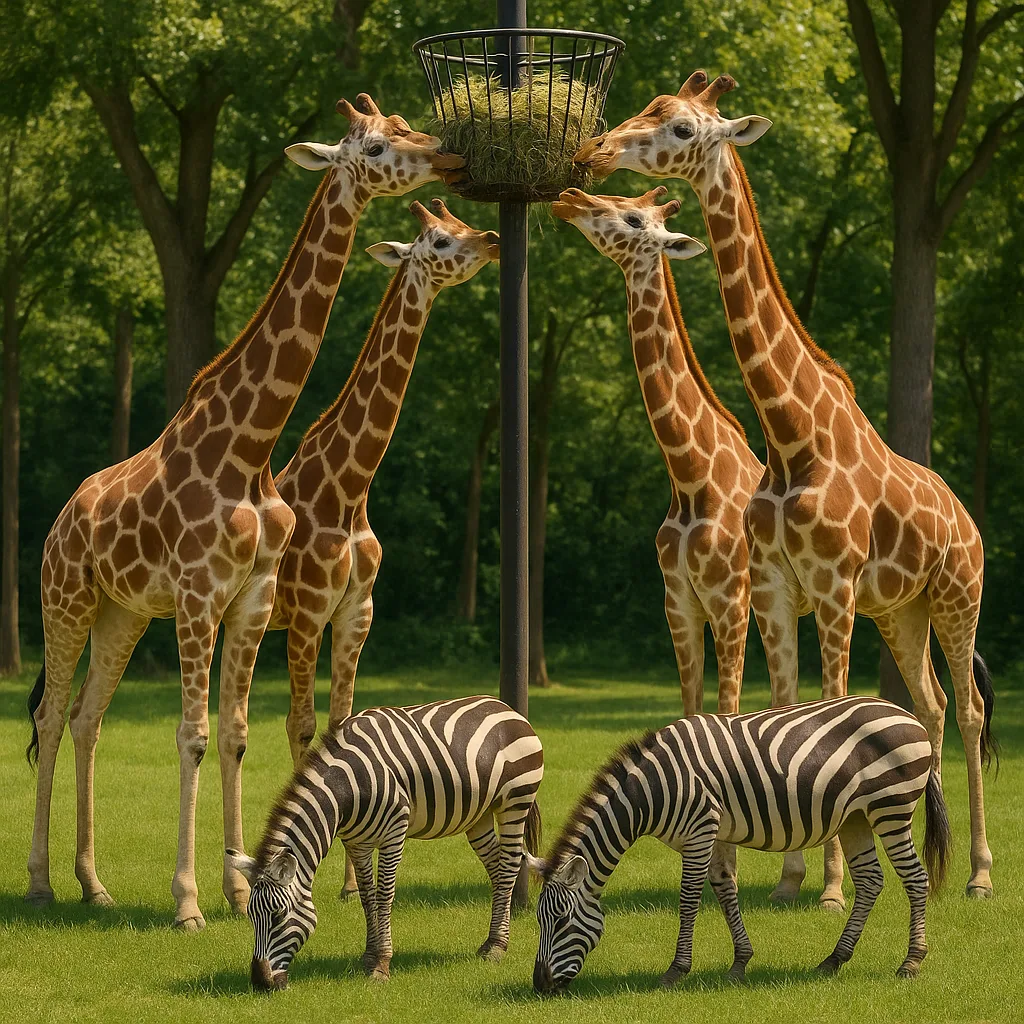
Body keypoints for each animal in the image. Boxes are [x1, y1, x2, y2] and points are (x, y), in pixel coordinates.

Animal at [25, 93, 464, 930]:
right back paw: (38, 882)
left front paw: (237, 887)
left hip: (122, 613)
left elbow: (235, 734)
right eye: (377, 144)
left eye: (402, 123)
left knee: (88, 718)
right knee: (48, 716)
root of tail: (62, 515)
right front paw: (189, 901)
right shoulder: (209, 597)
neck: (249, 445)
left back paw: (93, 884)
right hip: (63, 602)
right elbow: (195, 735)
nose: (450, 154)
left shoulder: (261, 600)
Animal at [267, 198, 498, 892]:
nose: (493, 237)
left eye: (462, 225)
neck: (348, 490)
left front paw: (351, 878)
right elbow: (303, 726)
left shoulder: (356, 612)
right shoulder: (307, 614)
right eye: (438, 239)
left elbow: (342, 726)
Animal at [575, 70, 995, 905]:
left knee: (965, 708)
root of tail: (966, 517)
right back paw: (929, 858)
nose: (592, 158)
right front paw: (786, 873)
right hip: (899, 609)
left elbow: (815, 712)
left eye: (680, 128)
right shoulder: (756, 591)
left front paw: (826, 885)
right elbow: (774, 708)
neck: (791, 434)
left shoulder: (812, 588)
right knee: (928, 705)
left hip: (956, 596)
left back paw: (977, 873)